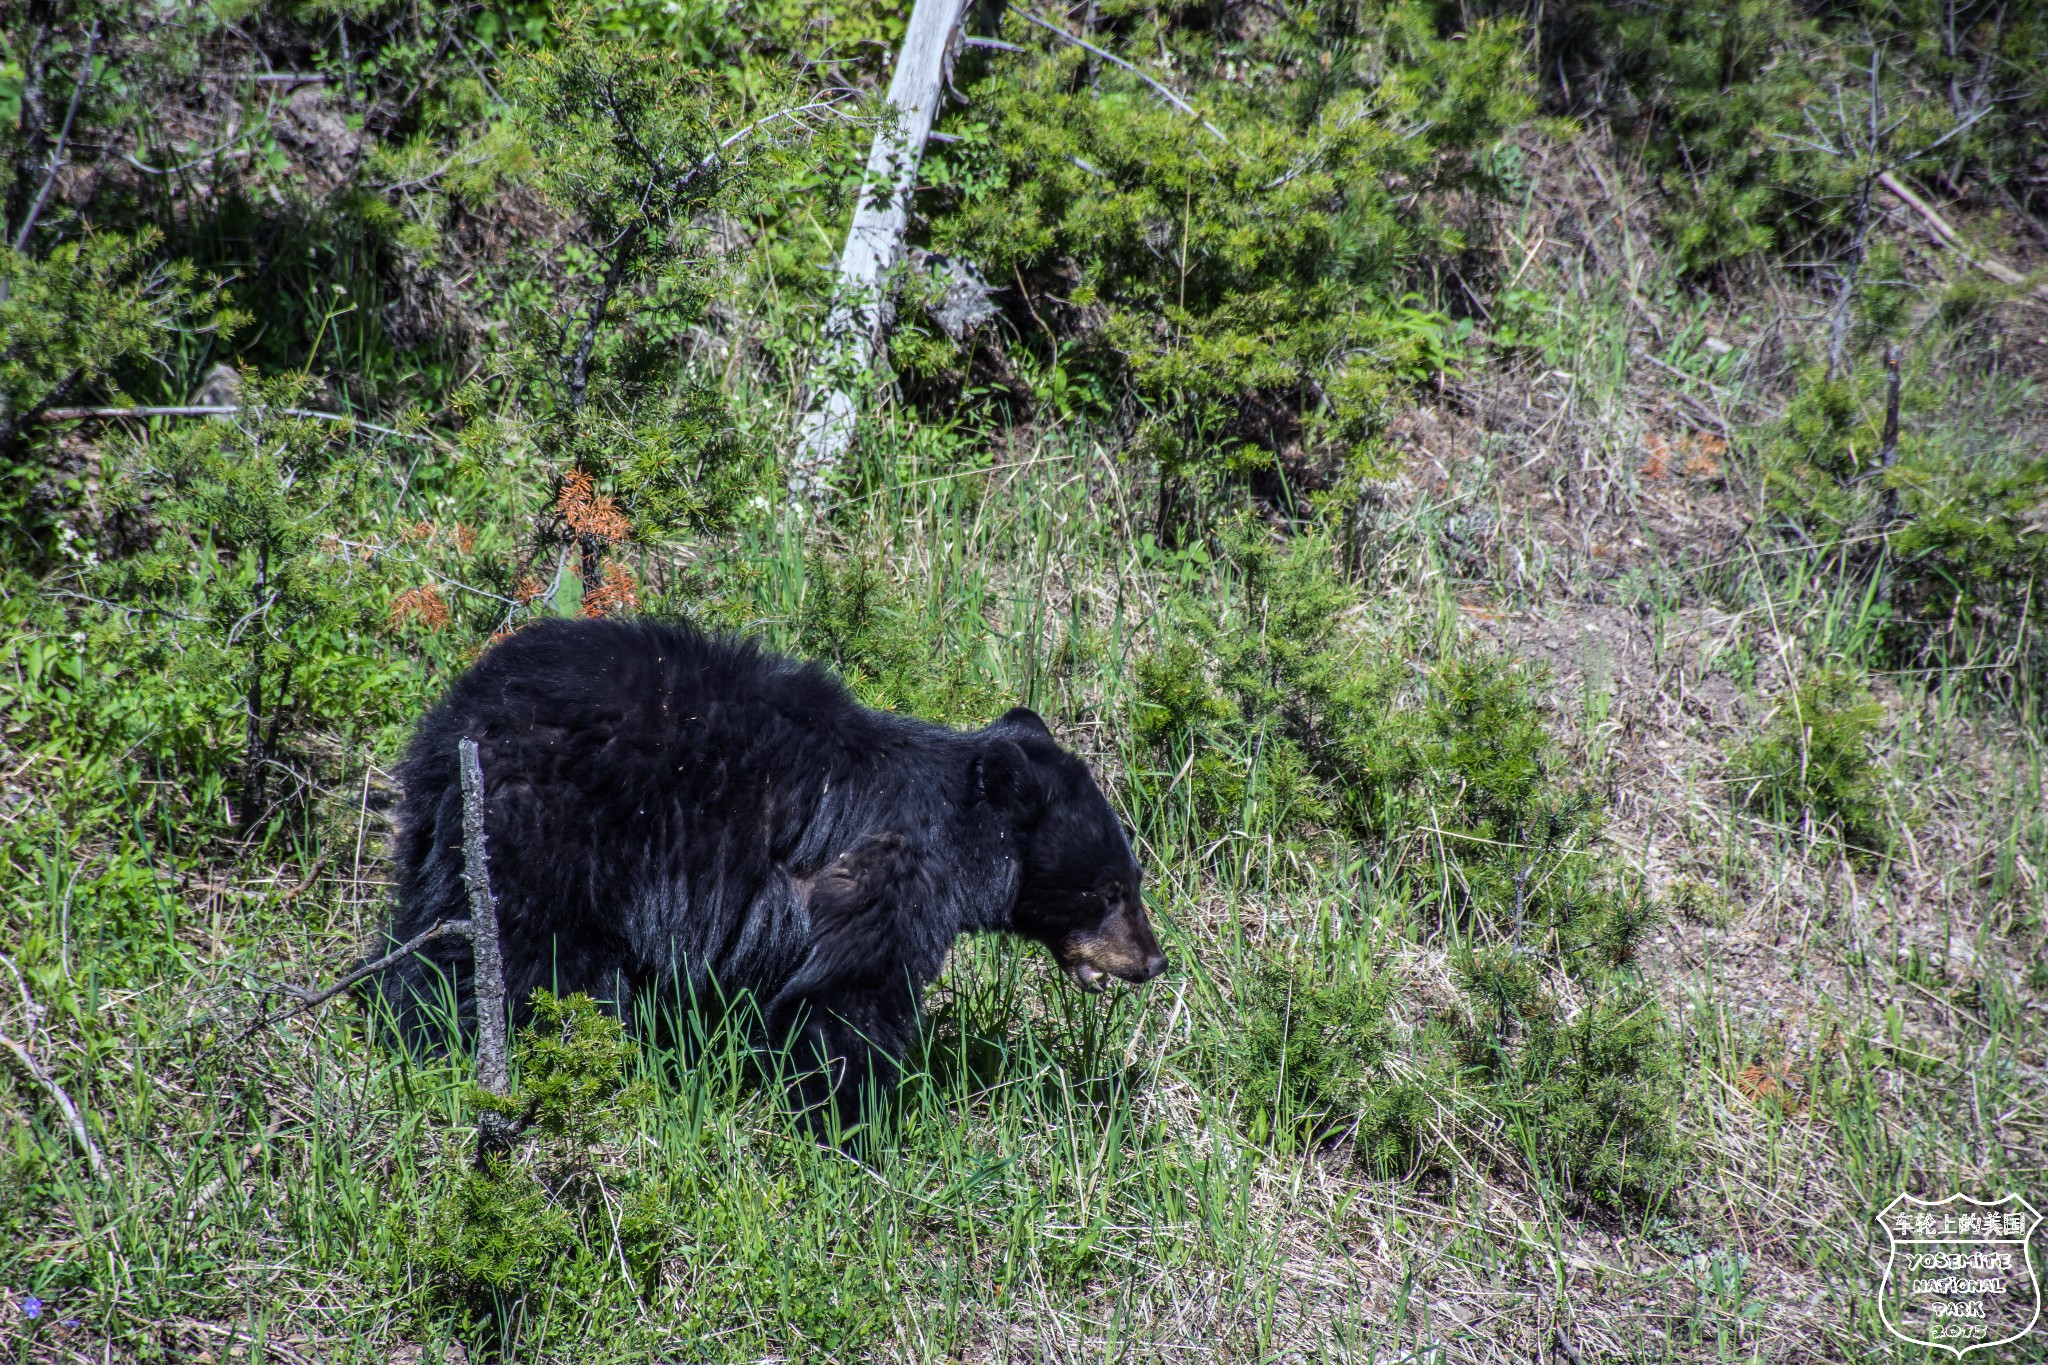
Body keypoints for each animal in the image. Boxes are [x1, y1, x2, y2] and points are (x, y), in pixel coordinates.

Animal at [370, 618, 1171, 1121]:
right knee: (507, 957)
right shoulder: (876, 884)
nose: (1154, 960)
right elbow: (846, 1003)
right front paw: (859, 1125)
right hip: (545, 836)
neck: (951, 839)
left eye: (1130, 883)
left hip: (442, 833)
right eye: (1110, 889)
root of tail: (456, 724)